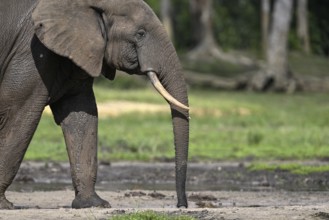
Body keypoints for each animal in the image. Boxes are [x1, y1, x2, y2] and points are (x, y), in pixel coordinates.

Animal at [0, 0, 188, 209]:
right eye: (140, 34)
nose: (182, 205)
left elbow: (81, 116)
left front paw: (93, 204)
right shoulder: (32, 54)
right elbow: (20, 113)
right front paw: (5, 205)